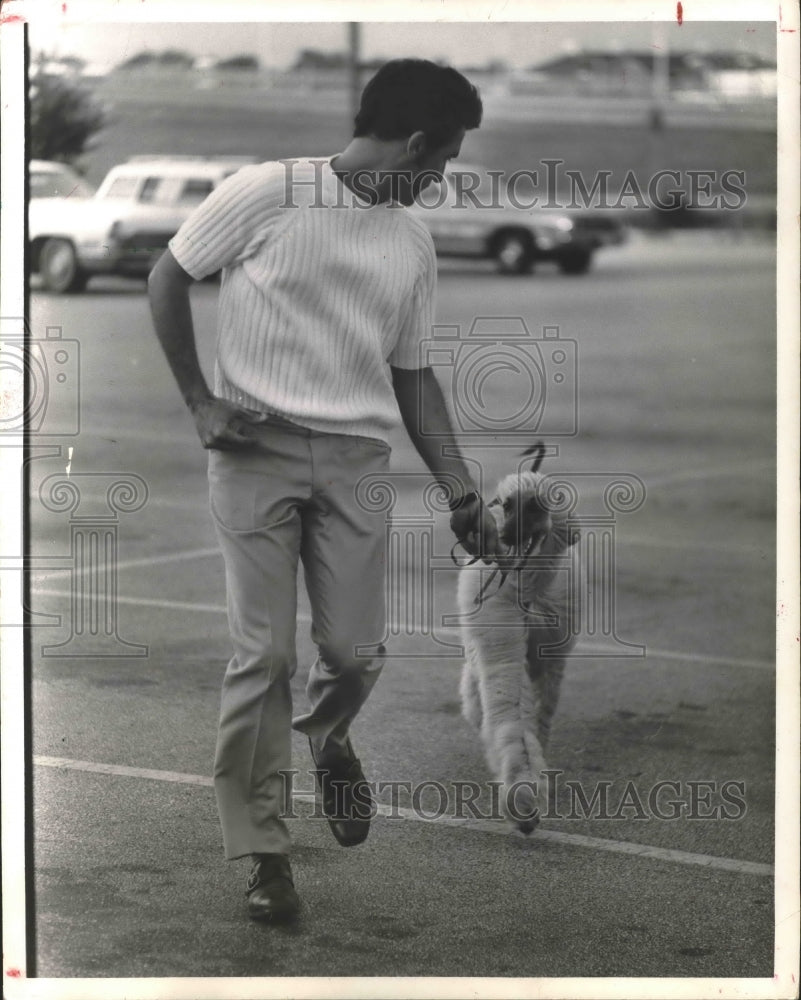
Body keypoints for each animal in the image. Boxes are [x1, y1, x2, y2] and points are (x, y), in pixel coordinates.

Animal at [456, 450, 580, 832]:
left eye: (537, 506)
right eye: (507, 504)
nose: (507, 537)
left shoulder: (551, 659)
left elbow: (538, 717)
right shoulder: (504, 646)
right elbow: (511, 714)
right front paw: (522, 795)